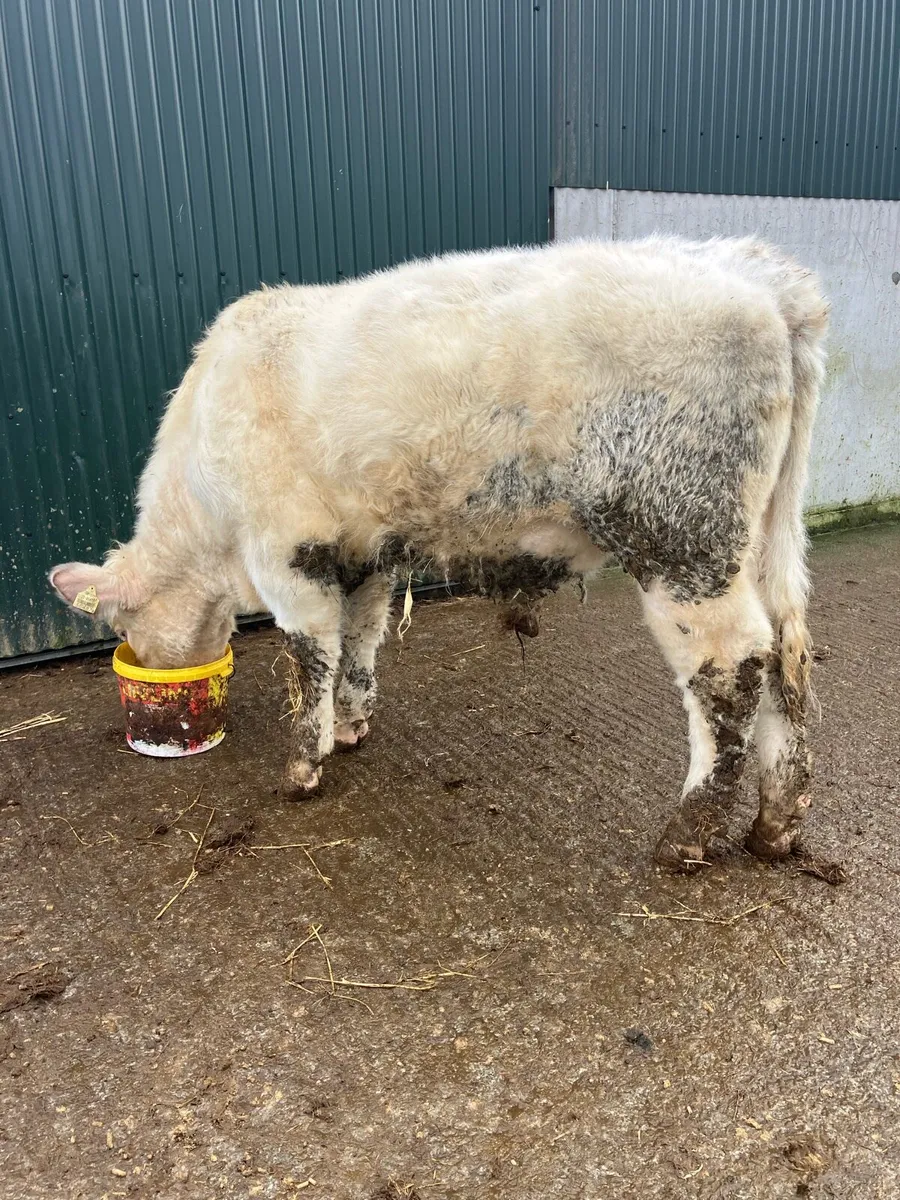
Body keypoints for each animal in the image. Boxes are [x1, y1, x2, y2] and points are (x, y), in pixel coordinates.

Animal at [49, 236, 828, 872]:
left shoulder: (284, 546)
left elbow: (309, 651)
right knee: (785, 658)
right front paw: (352, 724)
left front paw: (303, 765)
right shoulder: (363, 548)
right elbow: (360, 638)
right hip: (757, 537)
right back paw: (775, 824)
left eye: (122, 625)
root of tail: (761, 277)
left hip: (682, 534)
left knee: (732, 665)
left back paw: (687, 835)